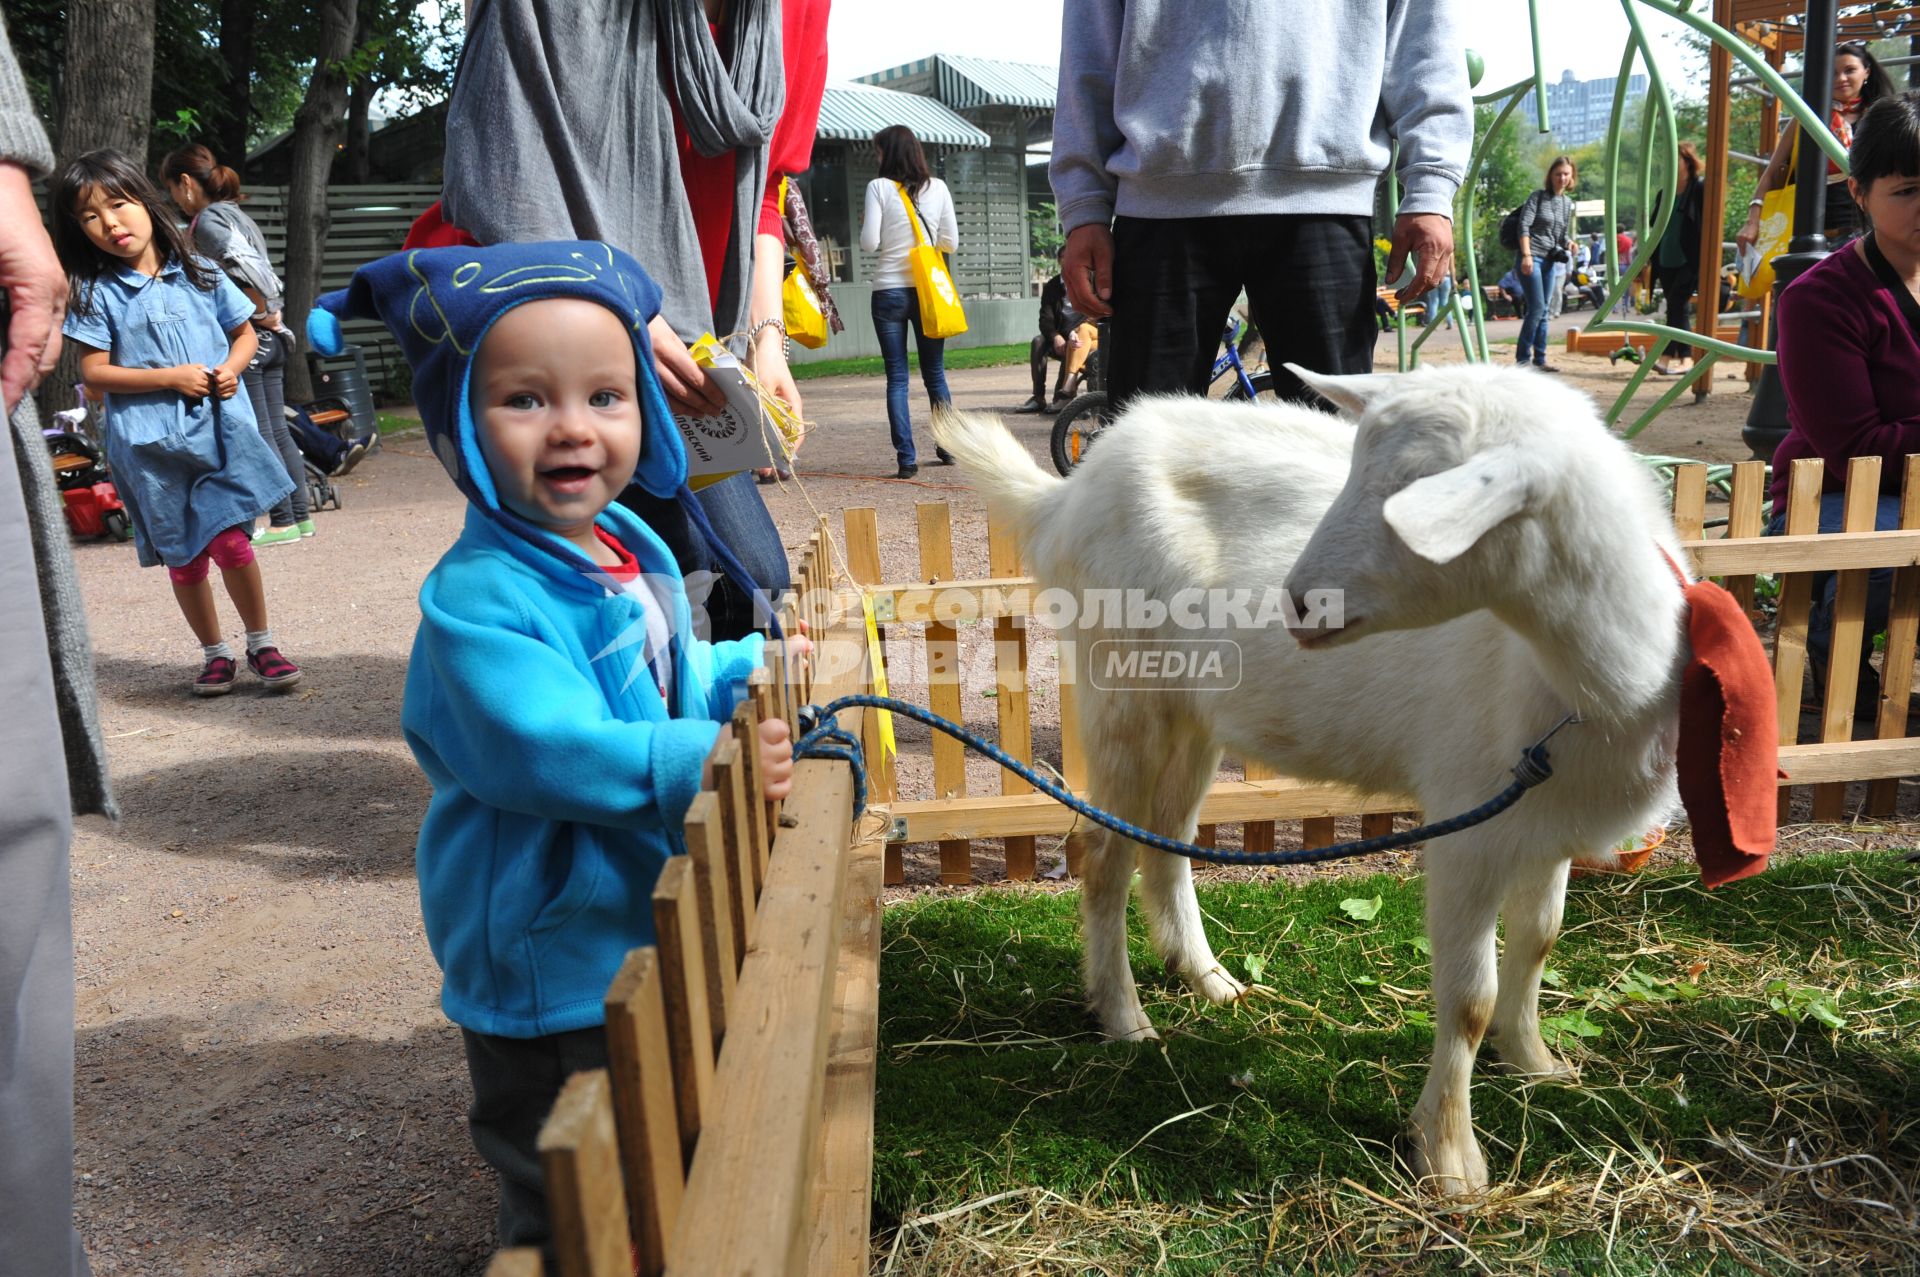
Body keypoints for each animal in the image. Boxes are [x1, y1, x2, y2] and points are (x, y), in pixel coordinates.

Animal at [936, 366, 1689, 1198]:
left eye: (1417, 496)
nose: (1299, 600)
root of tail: (1066, 496)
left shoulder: (1547, 816)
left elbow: (1540, 939)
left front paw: (1536, 1063)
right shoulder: (1468, 818)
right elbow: (1471, 998)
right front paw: (1450, 1158)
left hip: (1195, 712)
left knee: (1165, 839)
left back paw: (1208, 978)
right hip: (1122, 688)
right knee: (1104, 855)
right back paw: (1125, 1017)